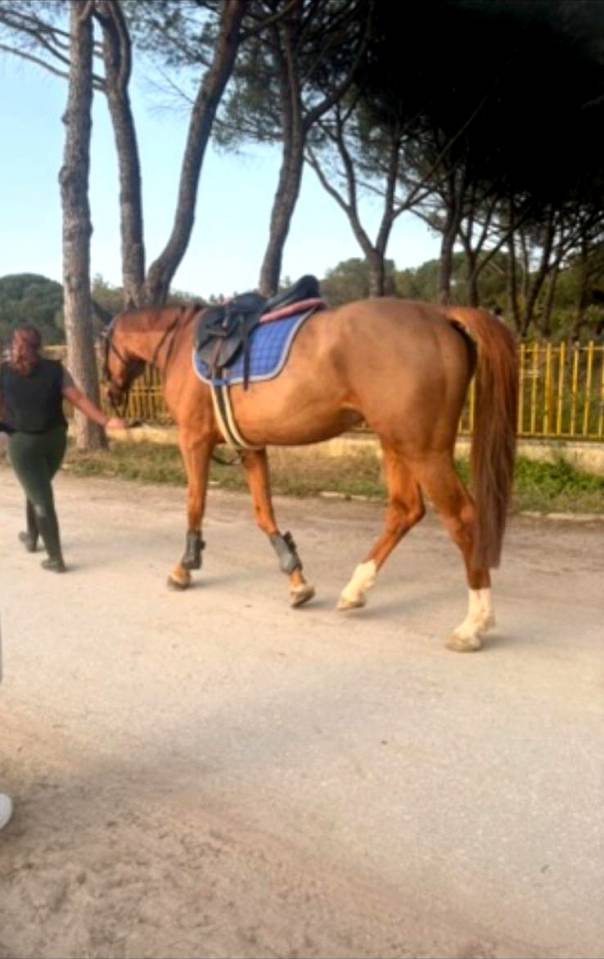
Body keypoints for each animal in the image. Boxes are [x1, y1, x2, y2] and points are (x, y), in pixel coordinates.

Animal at [103, 297, 517, 652]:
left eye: (102, 343)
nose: (110, 393)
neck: (183, 343)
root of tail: (439, 314)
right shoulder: (250, 447)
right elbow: (264, 513)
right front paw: (296, 579)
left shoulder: (194, 440)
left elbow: (195, 504)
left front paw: (184, 568)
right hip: (396, 442)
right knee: (405, 510)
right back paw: (356, 590)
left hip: (423, 450)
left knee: (463, 518)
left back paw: (473, 624)